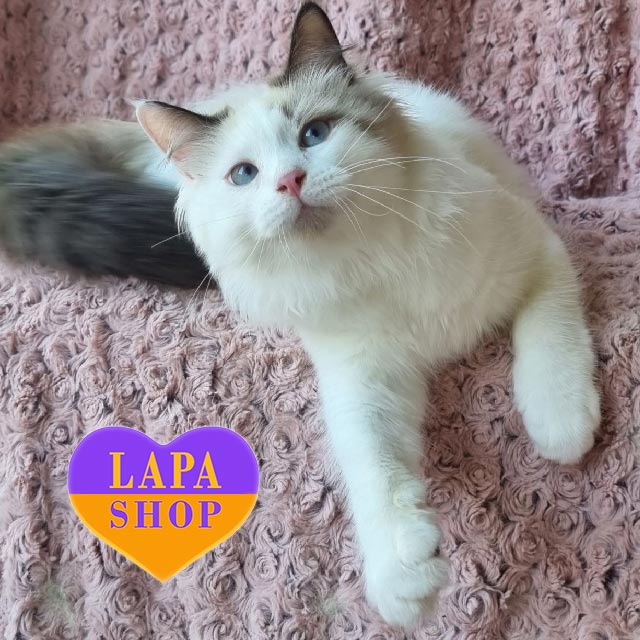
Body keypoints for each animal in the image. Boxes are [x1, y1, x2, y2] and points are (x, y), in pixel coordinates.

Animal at [0, 2, 600, 628]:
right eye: (245, 174)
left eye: (314, 134)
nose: (290, 181)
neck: (369, 260)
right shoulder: (363, 379)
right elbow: (372, 464)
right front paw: (403, 575)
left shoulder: (538, 252)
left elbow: (550, 348)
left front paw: (561, 430)